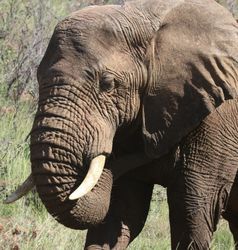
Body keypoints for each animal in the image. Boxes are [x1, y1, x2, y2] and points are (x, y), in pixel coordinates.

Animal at [3, 0, 238, 249]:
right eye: (37, 78)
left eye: (108, 84)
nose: (151, 150)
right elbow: (121, 213)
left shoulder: (216, 121)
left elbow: (193, 211)